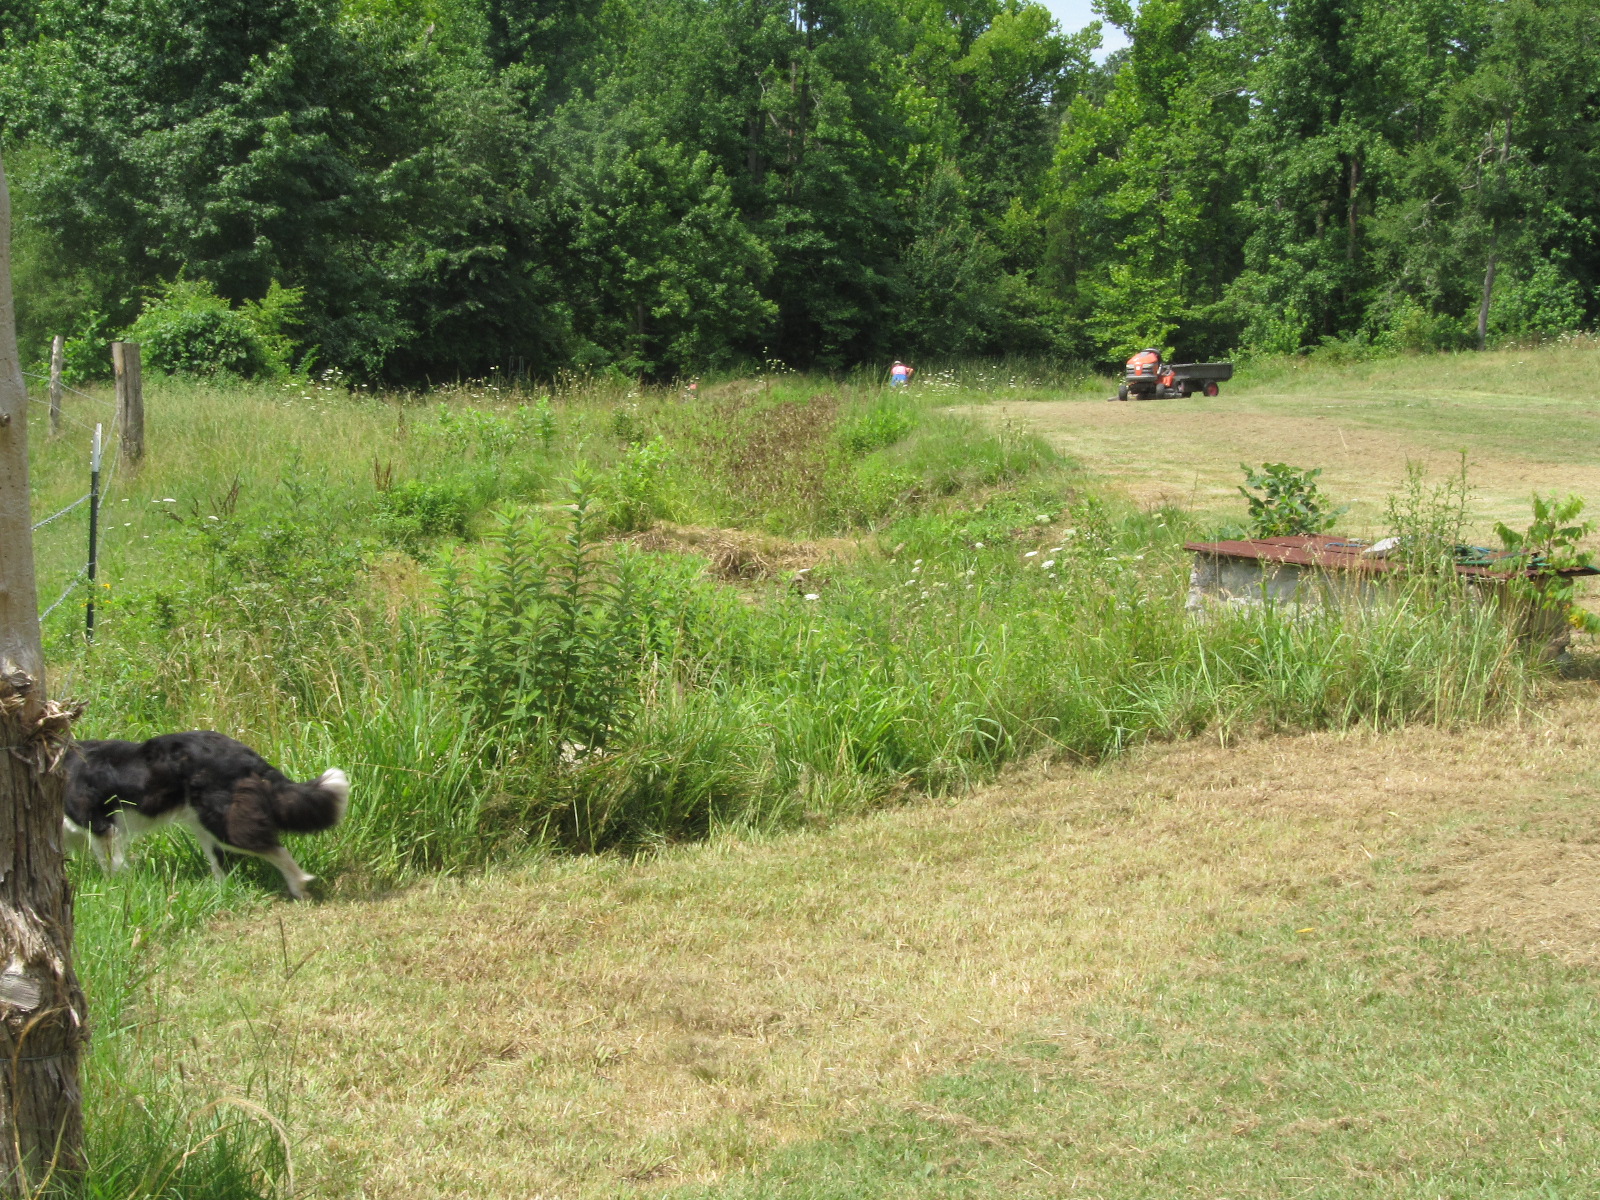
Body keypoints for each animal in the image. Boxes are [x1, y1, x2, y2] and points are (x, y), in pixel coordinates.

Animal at [63, 731, 350, 900]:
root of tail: (245, 754)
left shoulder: (101, 826)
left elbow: (109, 864)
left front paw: (113, 890)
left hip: (222, 821)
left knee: (272, 848)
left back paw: (299, 886)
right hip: (203, 824)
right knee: (222, 863)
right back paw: (219, 891)